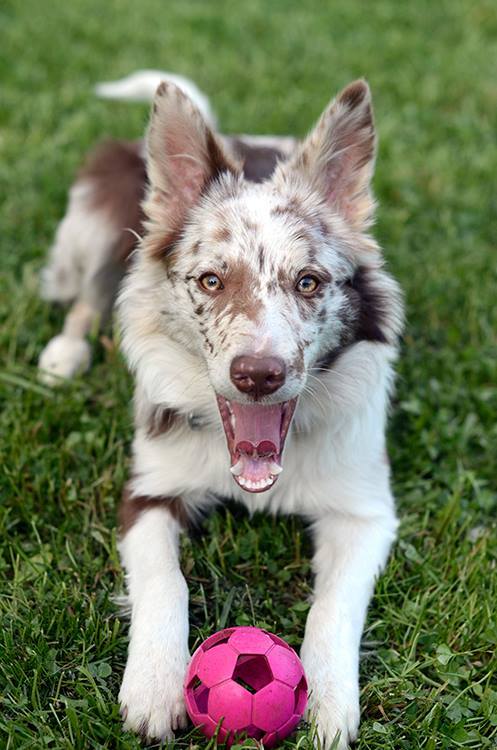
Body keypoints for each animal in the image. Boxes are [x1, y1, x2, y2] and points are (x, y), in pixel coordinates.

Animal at [38, 69, 404, 748]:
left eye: (309, 282)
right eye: (211, 280)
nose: (258, 374)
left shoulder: (365, 512)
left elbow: (333, 606)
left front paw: (328, 703)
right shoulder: (148, 490)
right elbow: (166, 581)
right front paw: (154, 687)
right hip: (101, 221)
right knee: (89, 296)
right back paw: (63, 354)